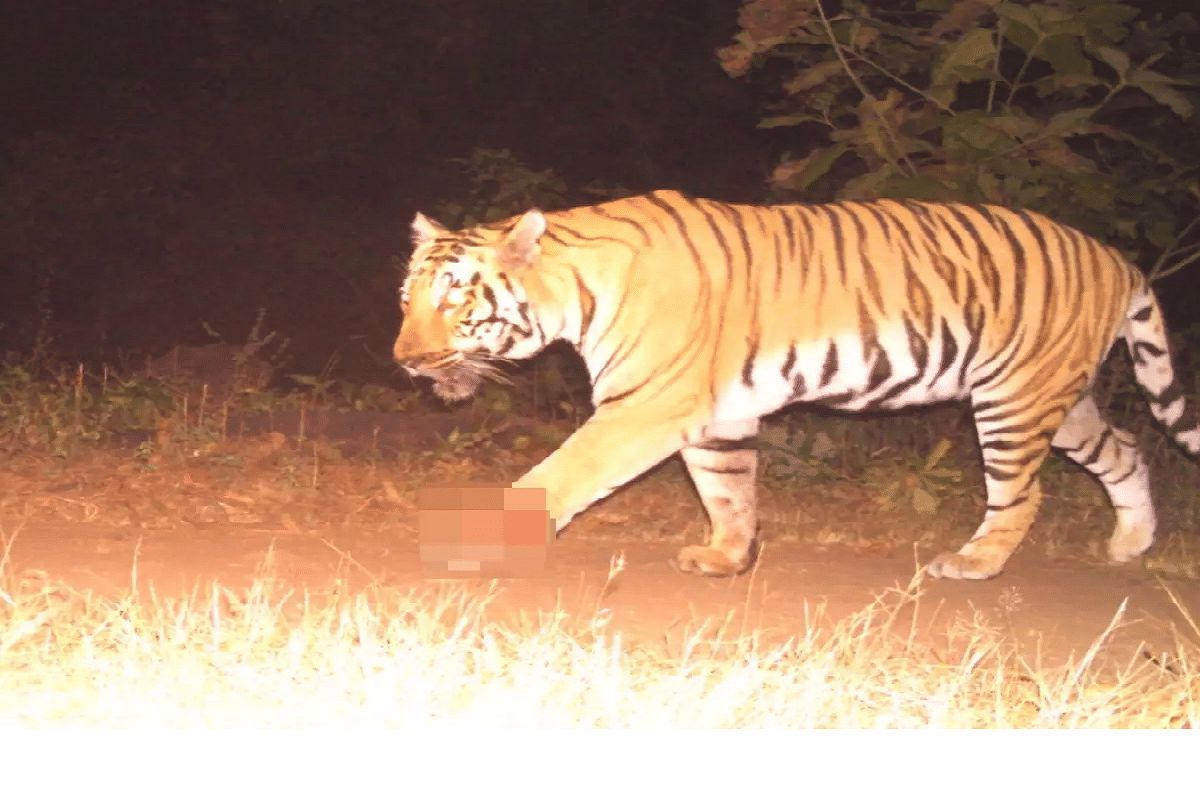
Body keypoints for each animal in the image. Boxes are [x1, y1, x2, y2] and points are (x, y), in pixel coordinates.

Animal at [393, 190, 1199, 580]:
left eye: (455, 300)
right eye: (407, 299)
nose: (403, 360)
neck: (576, 291)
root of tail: (1120, 259)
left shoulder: (644, 406)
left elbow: (558, 475)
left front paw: (485, 544)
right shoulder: (714, 413)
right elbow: (728, 490)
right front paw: (725, 558)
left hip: (1014, 402)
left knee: (1021, 495)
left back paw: (973, 563)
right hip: (1059, 401)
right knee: (1128, 450)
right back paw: (1129, 545)